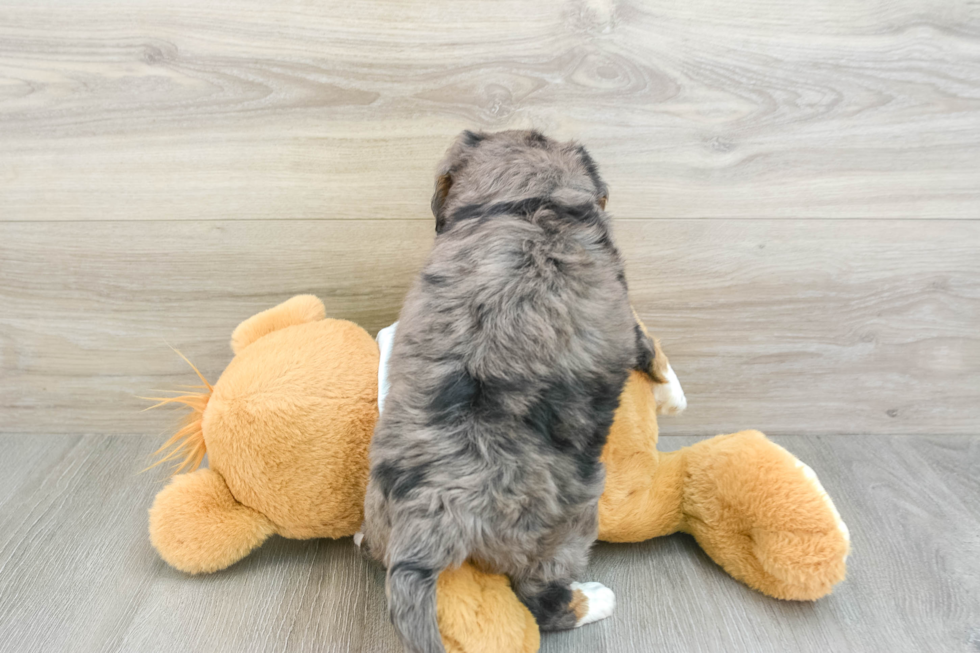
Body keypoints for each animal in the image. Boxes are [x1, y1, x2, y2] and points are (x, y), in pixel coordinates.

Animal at [364, 129, 664, 652]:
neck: (525, 205)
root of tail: (430, 513)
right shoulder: (627, 317)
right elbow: (652, 348)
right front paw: (671, 390)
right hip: (566, 523)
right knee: (542, 600)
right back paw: (593, 600)